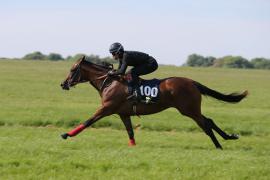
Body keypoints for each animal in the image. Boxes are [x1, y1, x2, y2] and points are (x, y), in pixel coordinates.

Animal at [60, 56, 248, 149]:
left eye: (72, 69)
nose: (63, 84)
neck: (110, 82)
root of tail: (192, 82)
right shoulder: (123, 113)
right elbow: (130, 132)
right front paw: (133, 147)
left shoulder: (106, 108)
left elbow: (88, 121)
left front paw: (67, 134)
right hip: (191, 109)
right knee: (209, 120)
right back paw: (229, 137)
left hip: (189, 109)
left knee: (206, 124)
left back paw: (219, 146)